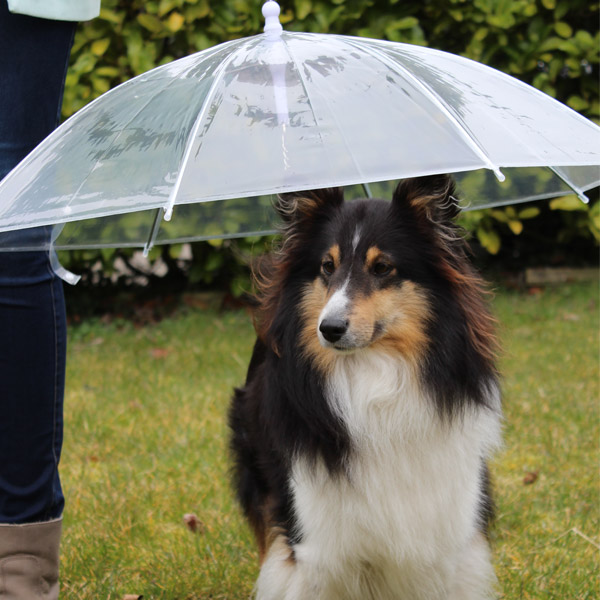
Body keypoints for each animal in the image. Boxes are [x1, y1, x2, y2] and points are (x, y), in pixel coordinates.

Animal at [230, 176, 502, 600]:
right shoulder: (315, 542)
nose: (328, 329)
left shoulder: (450, 523)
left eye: (383, 267)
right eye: (327, 266)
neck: (374, 377)